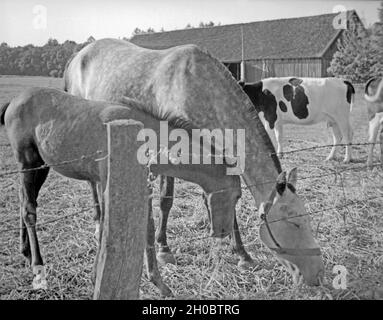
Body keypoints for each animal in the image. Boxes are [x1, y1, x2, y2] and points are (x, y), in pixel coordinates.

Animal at [0, 87, 244, 296]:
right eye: (237, 195)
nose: (222, 232)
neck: (145, 135)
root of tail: (13, 101)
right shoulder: (108, 185)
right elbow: (107, 227)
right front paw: (98, 277)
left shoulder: (143, 185)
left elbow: (147, 227)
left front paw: (159, 284)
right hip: (27, 162)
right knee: (29, 209)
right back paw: (38, 269)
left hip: (41, 167)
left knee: (24, 202)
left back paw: (25, 251)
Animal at [64, 38, 326, 286]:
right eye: (294, 222)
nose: (317, 274)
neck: (199, 88)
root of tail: (77, 56)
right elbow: (166, 200)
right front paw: (164, 250)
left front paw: (243, 255)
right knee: (92, 182)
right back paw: (99, 222)